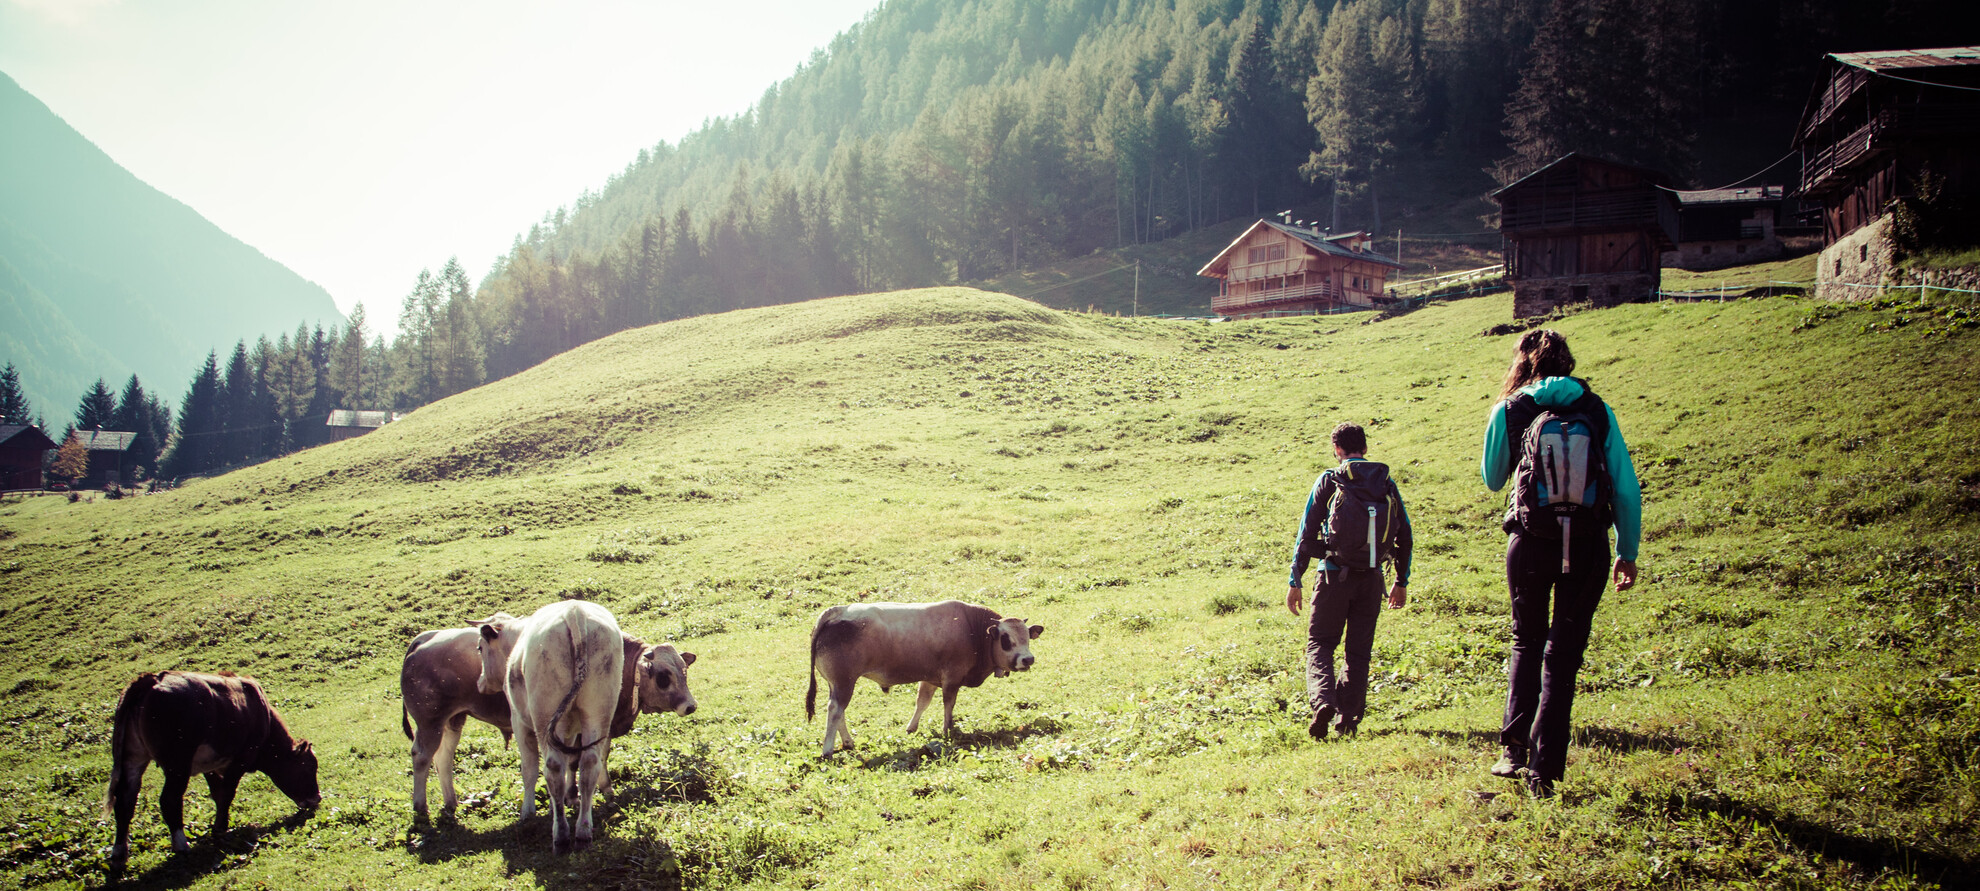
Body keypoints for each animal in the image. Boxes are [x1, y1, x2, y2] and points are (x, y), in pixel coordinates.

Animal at [104, 673, 318, 867]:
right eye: (309, 768)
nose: (317, 798)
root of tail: (152, 680)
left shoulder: (210, 766)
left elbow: (217, 793)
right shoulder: (240, 760)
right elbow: (227, 793)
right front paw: (221, 827)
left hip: (132, 759)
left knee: (125, 801)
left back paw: (119, 854)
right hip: (177, 764)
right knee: (169, 800)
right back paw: (181, 845)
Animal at [396, 625, 696, 815]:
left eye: (684, 671)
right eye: (663, 676)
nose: (690, 706)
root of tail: (423, 638)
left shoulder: (600, 729)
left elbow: (595, 759)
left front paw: (601, 792)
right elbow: (574, 762)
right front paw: (574, 796)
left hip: (451, 722)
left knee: (443, 759)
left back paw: (450, 802)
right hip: (430, 722)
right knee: (421, 757)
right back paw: (420, 806)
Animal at [467, 601, 621, 851]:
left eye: (480, 648)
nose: (480, 682)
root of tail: (574, 610)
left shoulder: (519, 723)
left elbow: (529, 769)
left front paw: (528, 812)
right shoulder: (568, 730)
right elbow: (570, 765)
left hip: (543, 716)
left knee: (553, 767)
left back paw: (561, 835)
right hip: (598, 711)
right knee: (589, 764)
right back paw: (582, 830)